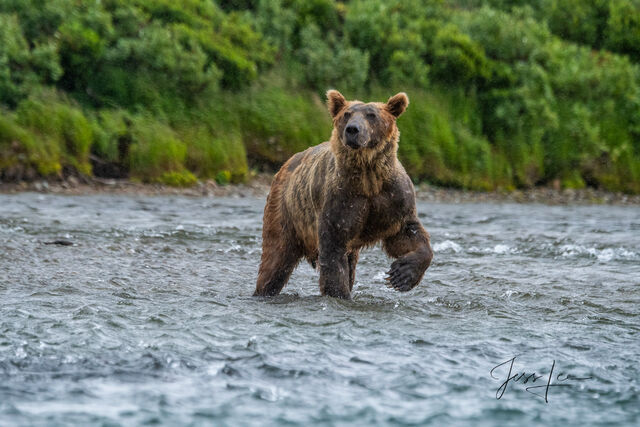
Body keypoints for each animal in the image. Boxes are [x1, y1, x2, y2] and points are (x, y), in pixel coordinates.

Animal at [255, 90, 436, 300]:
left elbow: (407, 234)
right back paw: (264, 290)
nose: (352, 129)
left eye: (371, 115)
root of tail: (285, 165)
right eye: (346, 114)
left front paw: (402, 275)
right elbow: (333, 252)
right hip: (286, 212)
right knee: (275, 259)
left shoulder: (393, 200)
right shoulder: (341, 202)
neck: (368, 177)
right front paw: (340, 294)